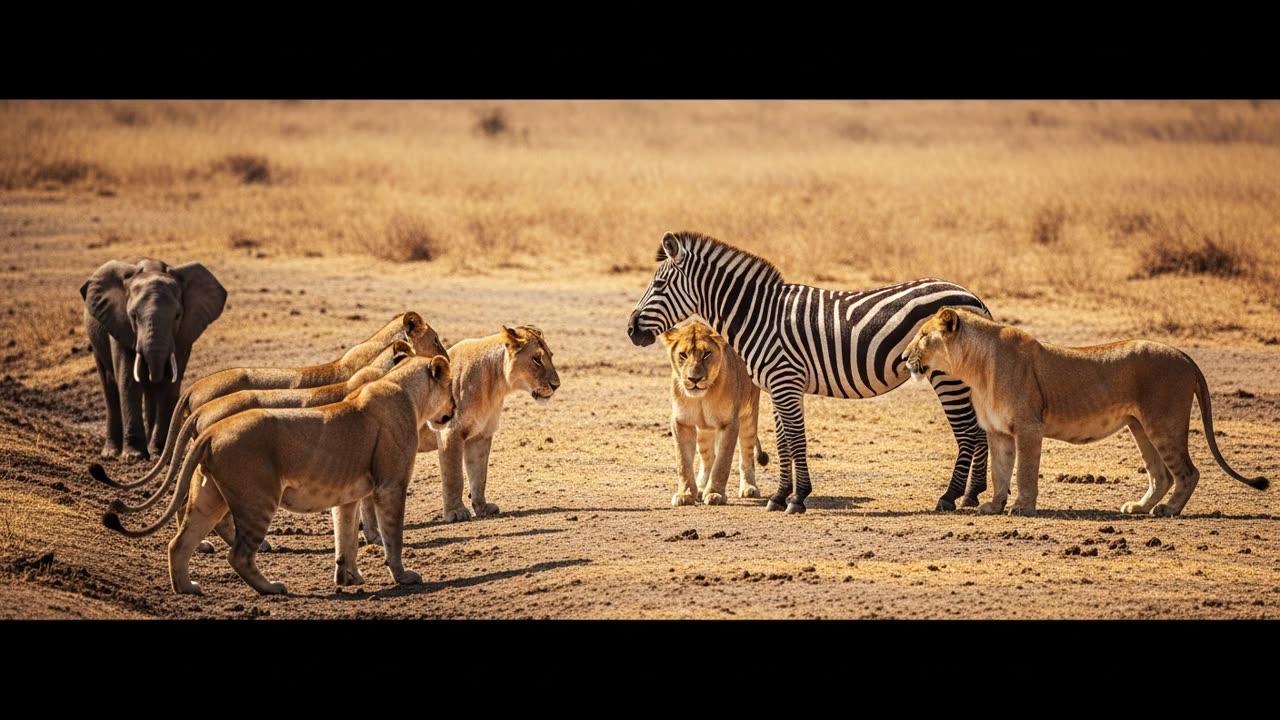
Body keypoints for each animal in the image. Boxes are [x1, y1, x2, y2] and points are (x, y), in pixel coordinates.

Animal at [81, 258, 227, 462]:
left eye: (177, 316)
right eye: (133, 316)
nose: (152, 453)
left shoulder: (183, 333)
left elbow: (170, 383)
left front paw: (158, 454)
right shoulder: (119, 324)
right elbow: (128, 380)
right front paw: (133, 456)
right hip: (95, 340)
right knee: (109, 385)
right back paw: (111, 453)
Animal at [627, 231, 992, 514]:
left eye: (658, 284)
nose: (631, 330)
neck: (758, 315)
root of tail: (972, 296)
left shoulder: (786, 381)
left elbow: (796, 440)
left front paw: (797, 498)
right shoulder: (776, 385)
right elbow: (784, 442)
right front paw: (779, 497)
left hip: (947, 376)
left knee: (968, 433)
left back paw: (950, 497)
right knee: (979, 431)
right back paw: (972, 495)